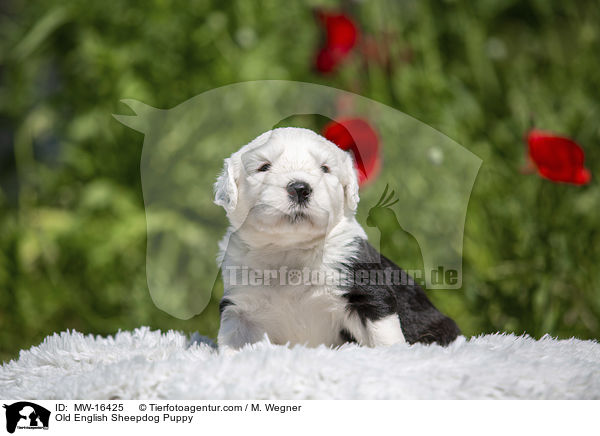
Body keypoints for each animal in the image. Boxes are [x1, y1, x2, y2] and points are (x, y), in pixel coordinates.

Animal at [214, 127, 460, 350]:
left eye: (325, 168)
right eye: (263, 167)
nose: (300, 188)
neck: (291, 250)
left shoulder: (367, 292)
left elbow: (385, 338)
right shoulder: (240, 308)